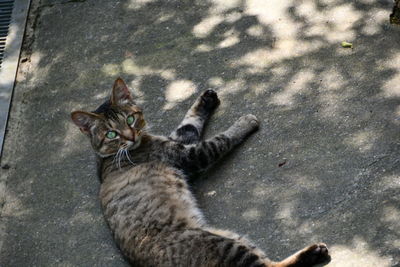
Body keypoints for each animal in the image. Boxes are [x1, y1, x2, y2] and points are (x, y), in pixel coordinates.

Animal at [71, 78, 332, 266]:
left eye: (130, 119)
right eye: (111, 134)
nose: (130, 135)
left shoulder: (180, 141)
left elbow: (189, 122)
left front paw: (206, 99)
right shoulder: (190, 155)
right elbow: (222, 139)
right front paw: (244, 122)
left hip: (232, 238)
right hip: (223, 245)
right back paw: (313, 252)